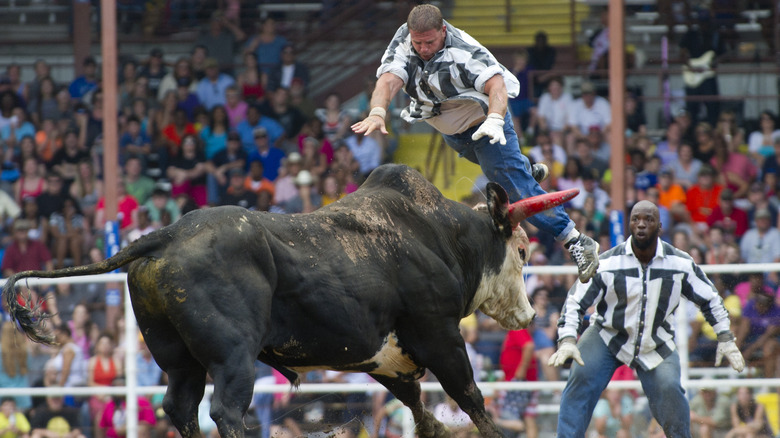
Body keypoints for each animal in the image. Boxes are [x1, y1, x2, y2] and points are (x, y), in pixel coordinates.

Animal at [3, 164, 576, 438]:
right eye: (523, 249)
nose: (529, 315)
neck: (438, 236)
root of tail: (165, 236)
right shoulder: (438, 334)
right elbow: (470, 396)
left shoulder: (386, 354)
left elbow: (415, 399)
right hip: (233, 356)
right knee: (226, 411)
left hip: (180, 360)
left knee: (181, 407)